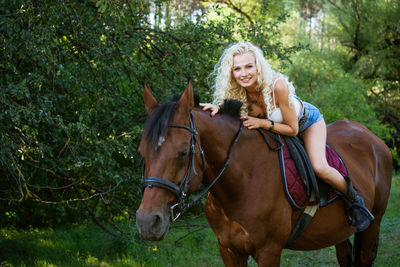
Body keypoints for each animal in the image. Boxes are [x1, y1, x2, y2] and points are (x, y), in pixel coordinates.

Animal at [136, 82, 392, 266]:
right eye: (142, 153)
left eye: (181, 153)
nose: (147, 222)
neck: (242, 183)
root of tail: (374, 140)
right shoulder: (229, 250)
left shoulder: (269, 251)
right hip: (339, 233)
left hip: (373, 226)